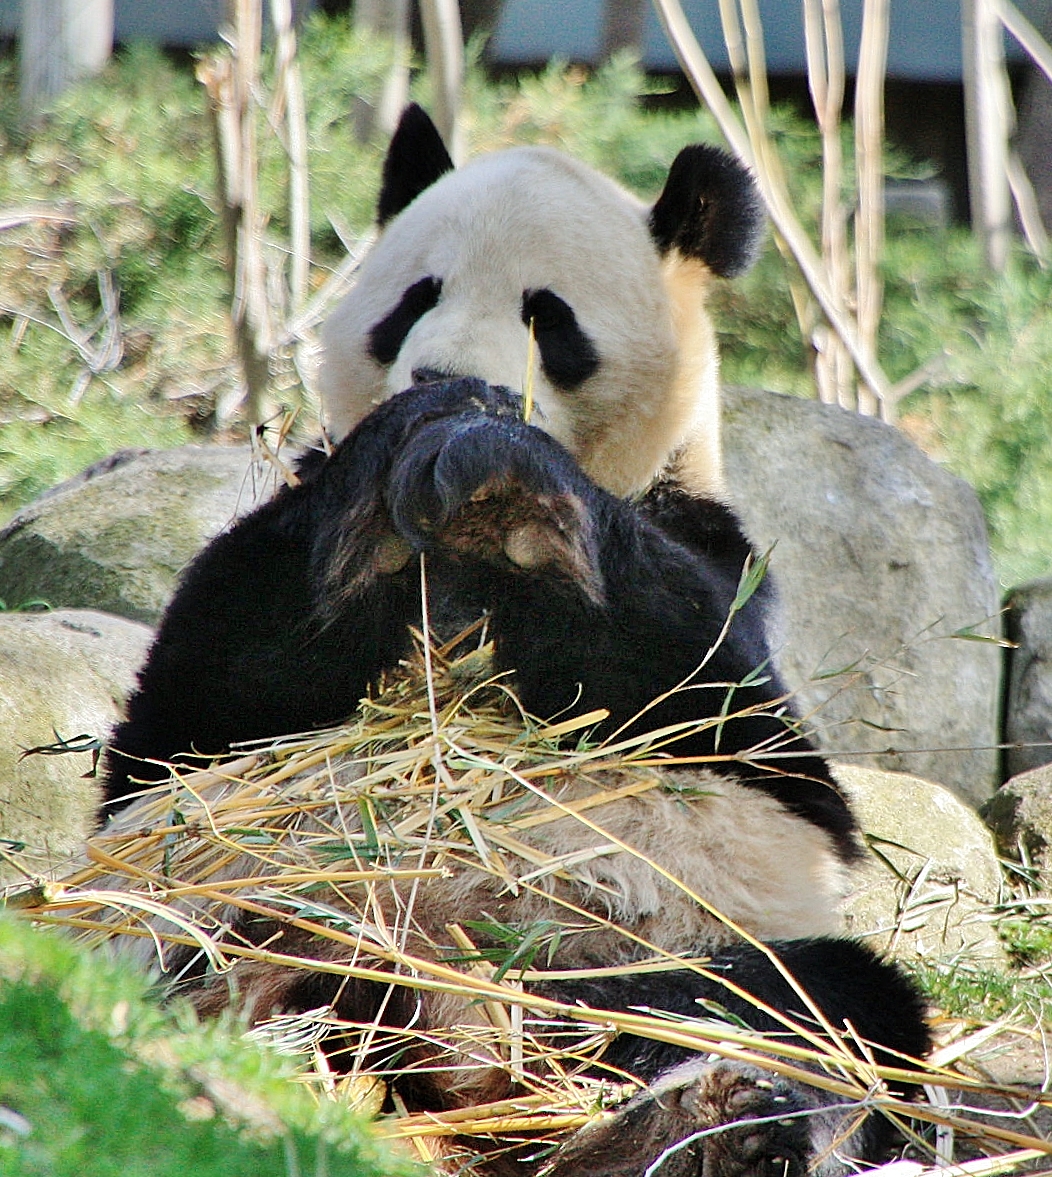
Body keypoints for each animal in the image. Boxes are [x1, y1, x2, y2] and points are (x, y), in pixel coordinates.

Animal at [101, 105, 931, 1172]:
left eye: (550, 316)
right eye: (416, 297)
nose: (448, 374)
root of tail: (462, 1045)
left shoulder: (720, 562)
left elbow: (713, 703)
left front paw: (512, 471)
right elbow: (200, 707)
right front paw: (402, 467)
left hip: (642, 955)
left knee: (811, 1000)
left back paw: (700, 1122)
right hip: (245, 910)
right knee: (193, 948)